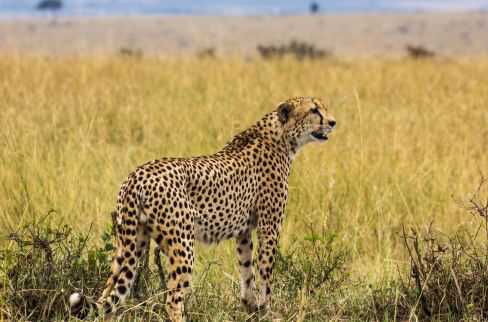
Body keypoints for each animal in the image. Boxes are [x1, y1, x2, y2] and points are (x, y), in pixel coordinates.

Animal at [69, 96, 336, 322]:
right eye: (314, 110)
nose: (333, 122)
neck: (282, 136)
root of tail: (137, 175)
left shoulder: (244, 231)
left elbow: (246, 269)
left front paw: (251, 306)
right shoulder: (269, 226)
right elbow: (265, 273)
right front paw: (266, 310)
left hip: (131, 242)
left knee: (109, 293)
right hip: (181, 245)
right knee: (172, 300)